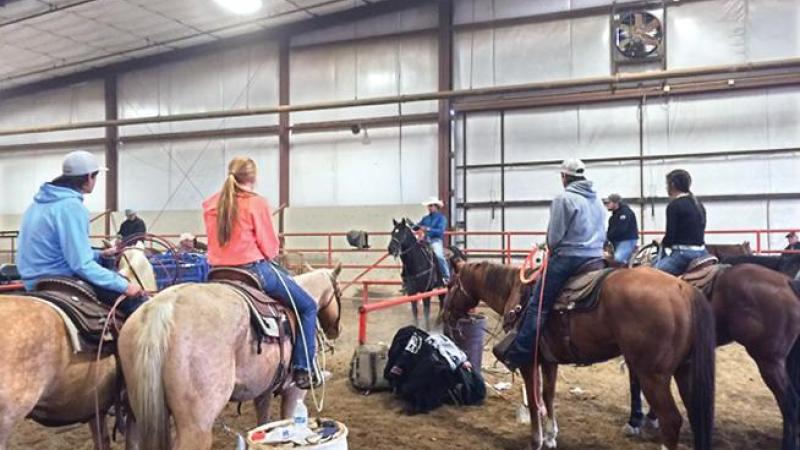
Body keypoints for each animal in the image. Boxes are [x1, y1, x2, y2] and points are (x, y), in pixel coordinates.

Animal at [119, 266, 340, 450]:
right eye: (338, 291)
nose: (335, 331)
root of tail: (165, 307)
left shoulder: (263, 390)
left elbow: (264, 422)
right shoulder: (294, 391)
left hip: (139, 415)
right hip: (196, 426)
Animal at [444, 260, 720, 450]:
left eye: (449, 285)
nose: (446, 317)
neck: (515, 291)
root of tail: (682, 288)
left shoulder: (528, 362)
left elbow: (534, 400)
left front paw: (537, 441)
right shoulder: (549, 361)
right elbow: (549, 395)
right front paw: (551, 437)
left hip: (652, 376)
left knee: (671, 421)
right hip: (685, 371)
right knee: (694, 415)